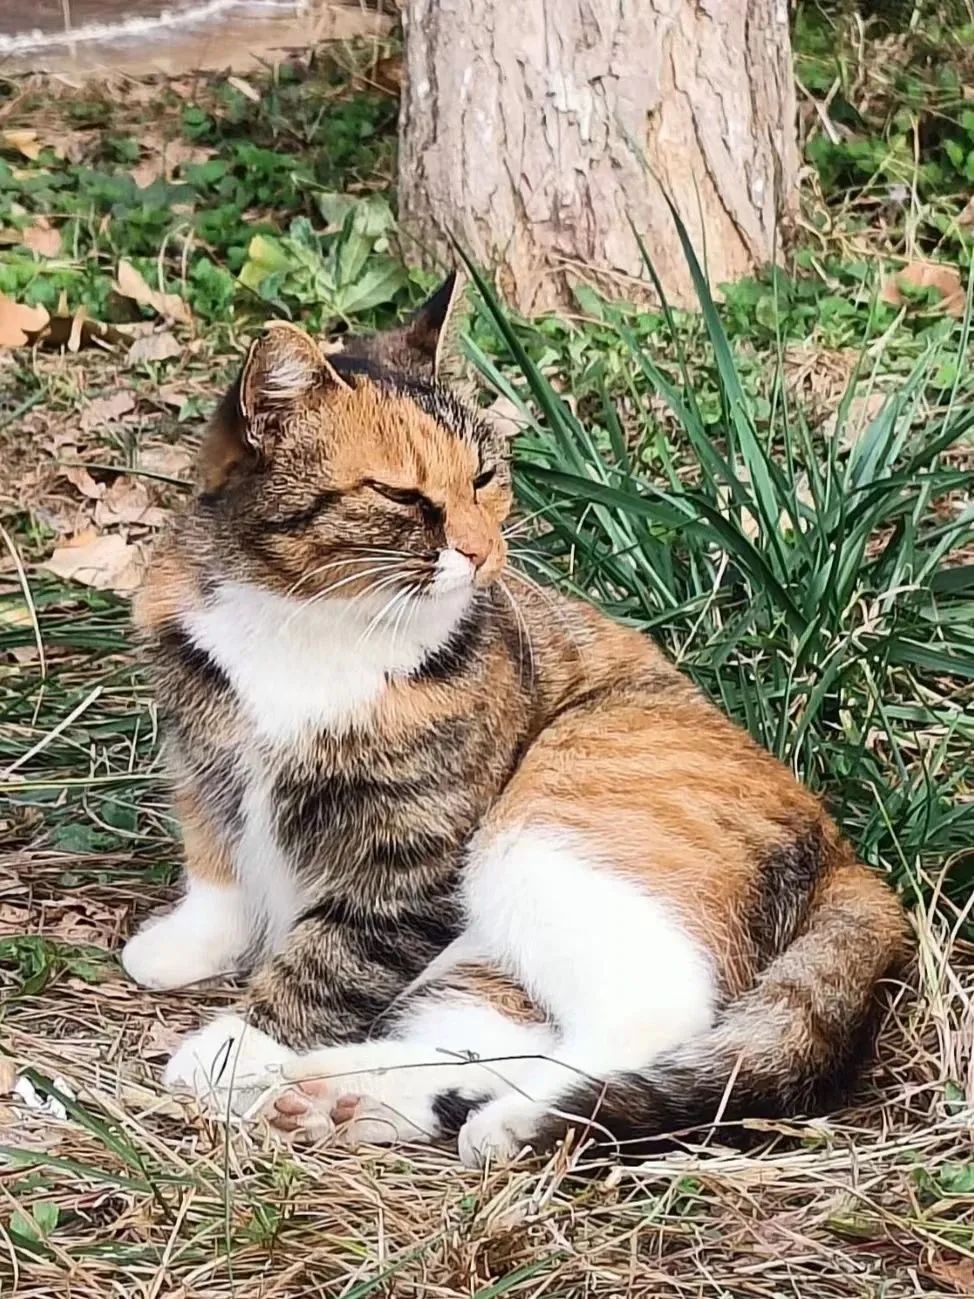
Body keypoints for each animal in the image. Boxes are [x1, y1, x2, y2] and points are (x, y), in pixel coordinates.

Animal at [125, 275, 906, 1165]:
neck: (308, 622)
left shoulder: (417, 852)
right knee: (498, 1032)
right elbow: (216, 861)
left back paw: (510, 1118)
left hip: (545, 825)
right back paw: (346, 1096)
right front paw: (191, 941)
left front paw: (236, 1046)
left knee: (652, 1018)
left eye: (485, 474)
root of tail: (847, 852)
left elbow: (332, 955)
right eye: (399, 494)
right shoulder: (206, 763)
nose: (482, 552)